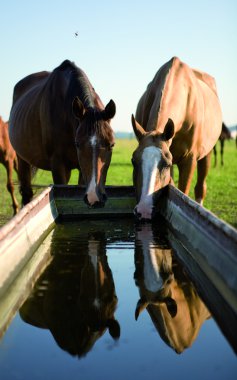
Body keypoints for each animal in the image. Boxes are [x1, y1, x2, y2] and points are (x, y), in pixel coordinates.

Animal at [9, 59, 115, 208]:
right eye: (78, 144)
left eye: (111, 145)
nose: (95, 198)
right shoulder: (58, 165)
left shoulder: (82, 170)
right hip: (22, 159)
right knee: (27, 194)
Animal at [131, 55, 222, 220]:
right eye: (133, 161)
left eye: (166, 164)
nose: (144, 210)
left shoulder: (189, 161)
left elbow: (184, 192)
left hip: (207, 154)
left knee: (200, 188)